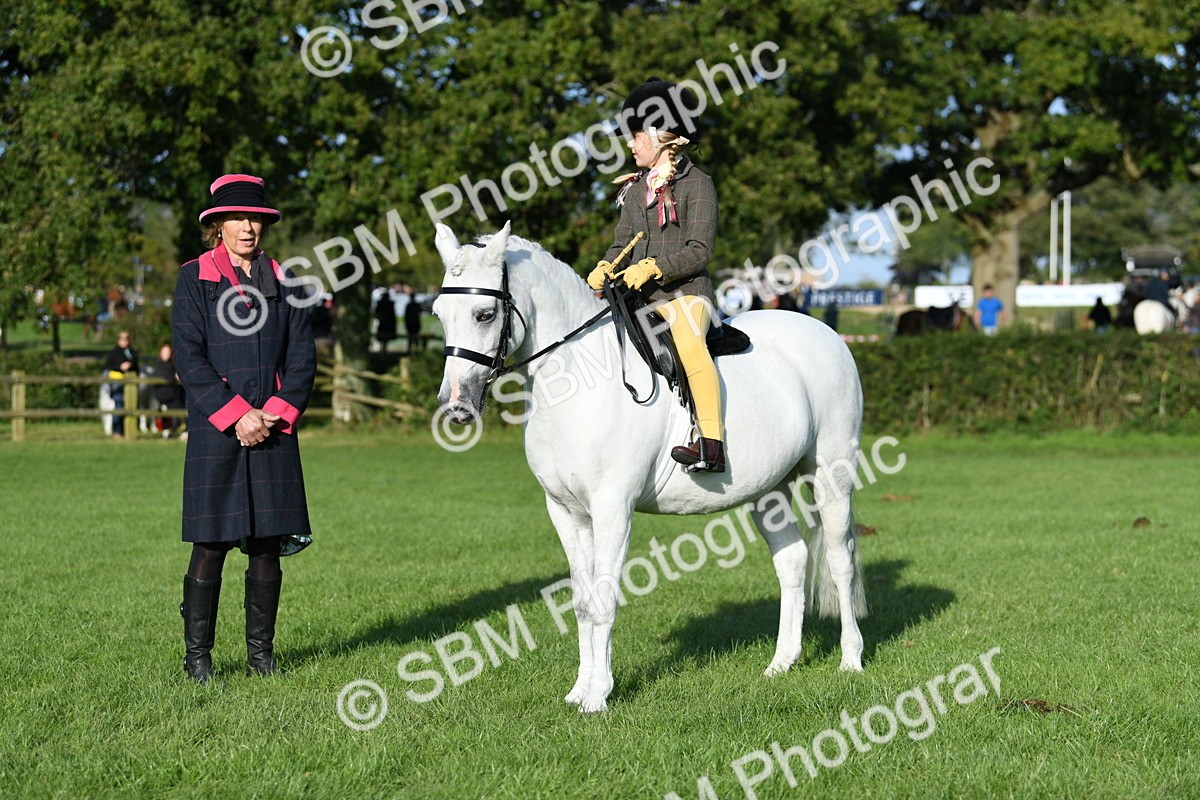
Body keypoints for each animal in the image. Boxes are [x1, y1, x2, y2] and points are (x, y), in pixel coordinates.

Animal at [431, 222, 868, 713]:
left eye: (485, 314)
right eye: (439, 312)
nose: (455, 406)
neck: (577, 381)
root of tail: (826, 334)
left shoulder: (612, 509)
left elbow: (604, 599)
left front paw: (598, 697)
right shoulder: (565, 513)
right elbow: (582, 602)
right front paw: (578, 690)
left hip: (832, 473)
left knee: (840, 559)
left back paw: (850, 659)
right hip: (768, 489)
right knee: (792, 561)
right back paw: (782, 663)